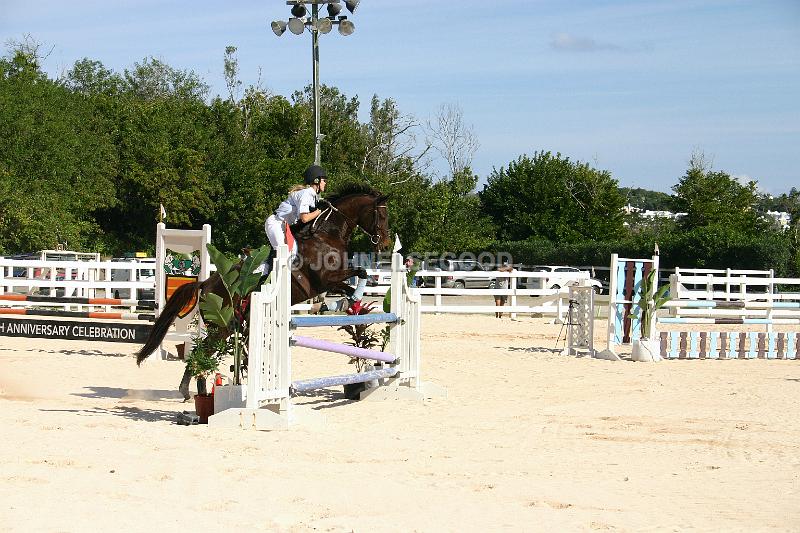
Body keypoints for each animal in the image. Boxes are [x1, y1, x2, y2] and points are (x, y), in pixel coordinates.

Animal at [137, 183, 390, 394]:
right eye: (381, 214)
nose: (386, 244)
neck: (326, 234)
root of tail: (205, 284)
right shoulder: (325, 280)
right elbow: (359, 273)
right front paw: (355, 298)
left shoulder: (331, 282)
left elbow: (355, 279)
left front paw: (353, 303)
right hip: (222, 325)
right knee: (203, 351)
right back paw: (190, 390)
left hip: (230, 325)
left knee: (206, 351)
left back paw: (197, 390)